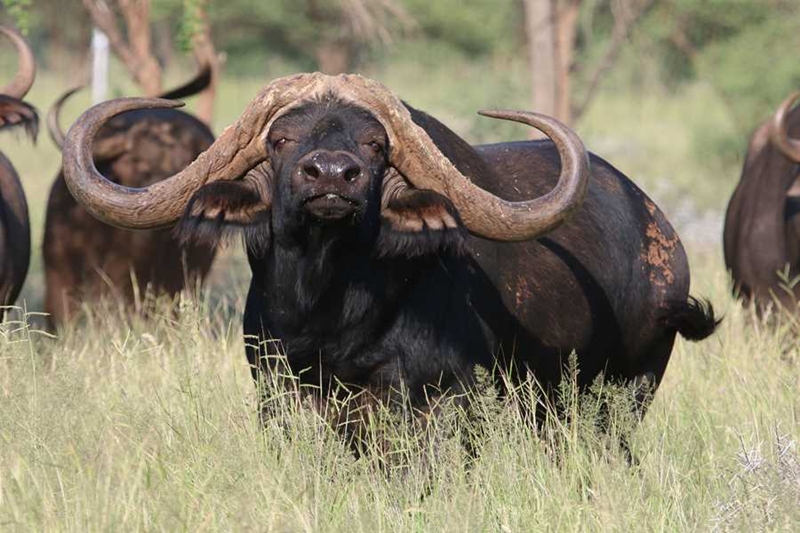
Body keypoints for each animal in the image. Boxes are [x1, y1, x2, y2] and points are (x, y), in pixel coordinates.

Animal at [61, 74, 717, 440]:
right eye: (281, 139)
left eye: (375, 143)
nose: (331, 175)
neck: (331, 314)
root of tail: (661, 228)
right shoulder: (280, 396)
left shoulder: (434, 404)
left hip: (623, 397)